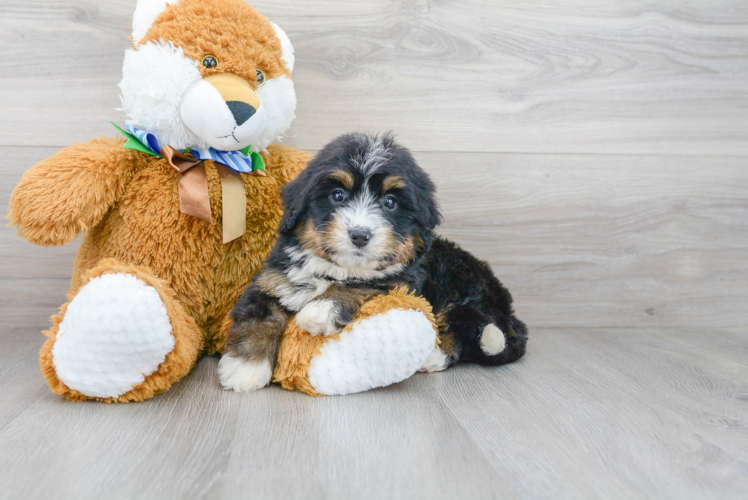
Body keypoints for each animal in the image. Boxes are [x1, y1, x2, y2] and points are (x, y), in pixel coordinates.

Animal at [219, 132, 528, 390]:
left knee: (466, 327)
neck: (337, 268)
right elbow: (261, 317)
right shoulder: (274, 280)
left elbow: (358, 286)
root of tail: (506, 306)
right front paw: (245, 367)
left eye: (390, 202)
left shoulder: (400, 279)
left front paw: (317, 312)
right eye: (337, 195)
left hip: (463, 288)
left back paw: (434, 355)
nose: (359, 235)